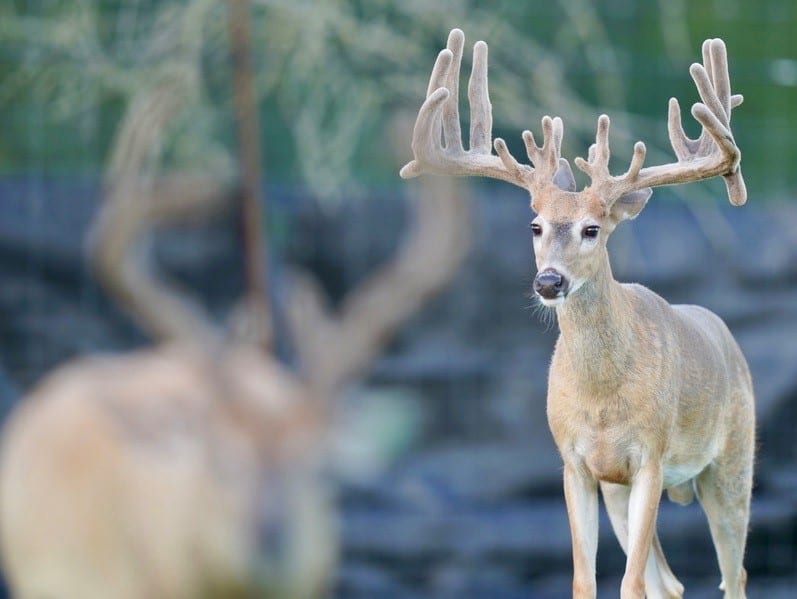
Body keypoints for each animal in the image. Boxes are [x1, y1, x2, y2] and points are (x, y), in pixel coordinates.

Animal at [401, 29, 754, 599]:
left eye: (592, 228)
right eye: (535, 225)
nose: (549, 282)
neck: (601, 399)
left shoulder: (651, 457)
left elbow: (629, 584)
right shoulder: (577, 463)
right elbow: (585, 580)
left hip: (731, 461)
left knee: (733, 573)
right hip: (621, 489)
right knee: (672, 584)